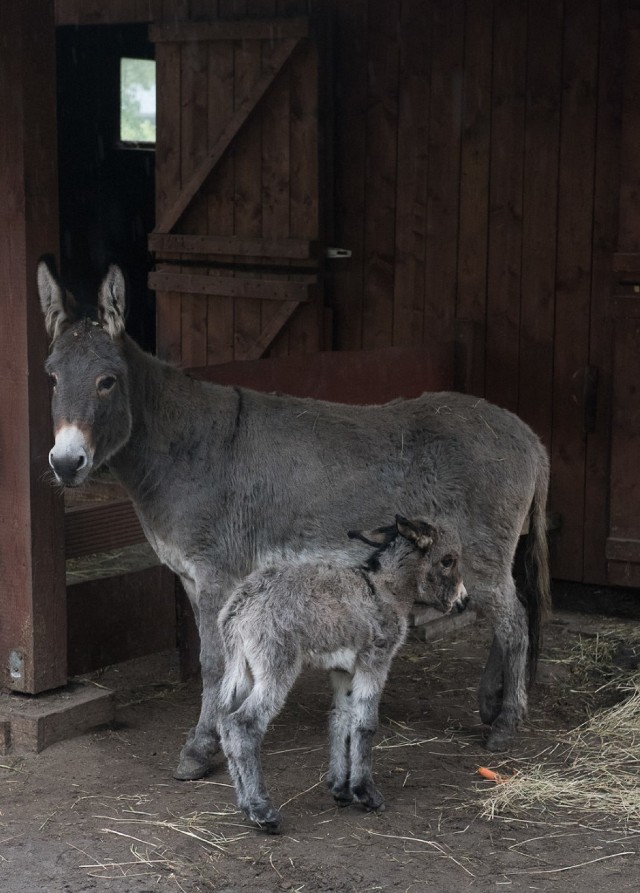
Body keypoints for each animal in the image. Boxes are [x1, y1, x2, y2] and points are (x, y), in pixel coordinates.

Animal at [218, 512, 468, 832]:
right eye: (448, 560)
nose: (463, 602)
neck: (383, 590)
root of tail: (240, 606)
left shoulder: (342, 671)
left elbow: (340, 720)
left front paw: (340, 789)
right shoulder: (375, 661)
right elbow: (365, 724)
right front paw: (366, 793)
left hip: (241, 671)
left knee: (225, 723)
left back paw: (244, 805)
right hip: (276, 668)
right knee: (243, 724)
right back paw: (263, 811)